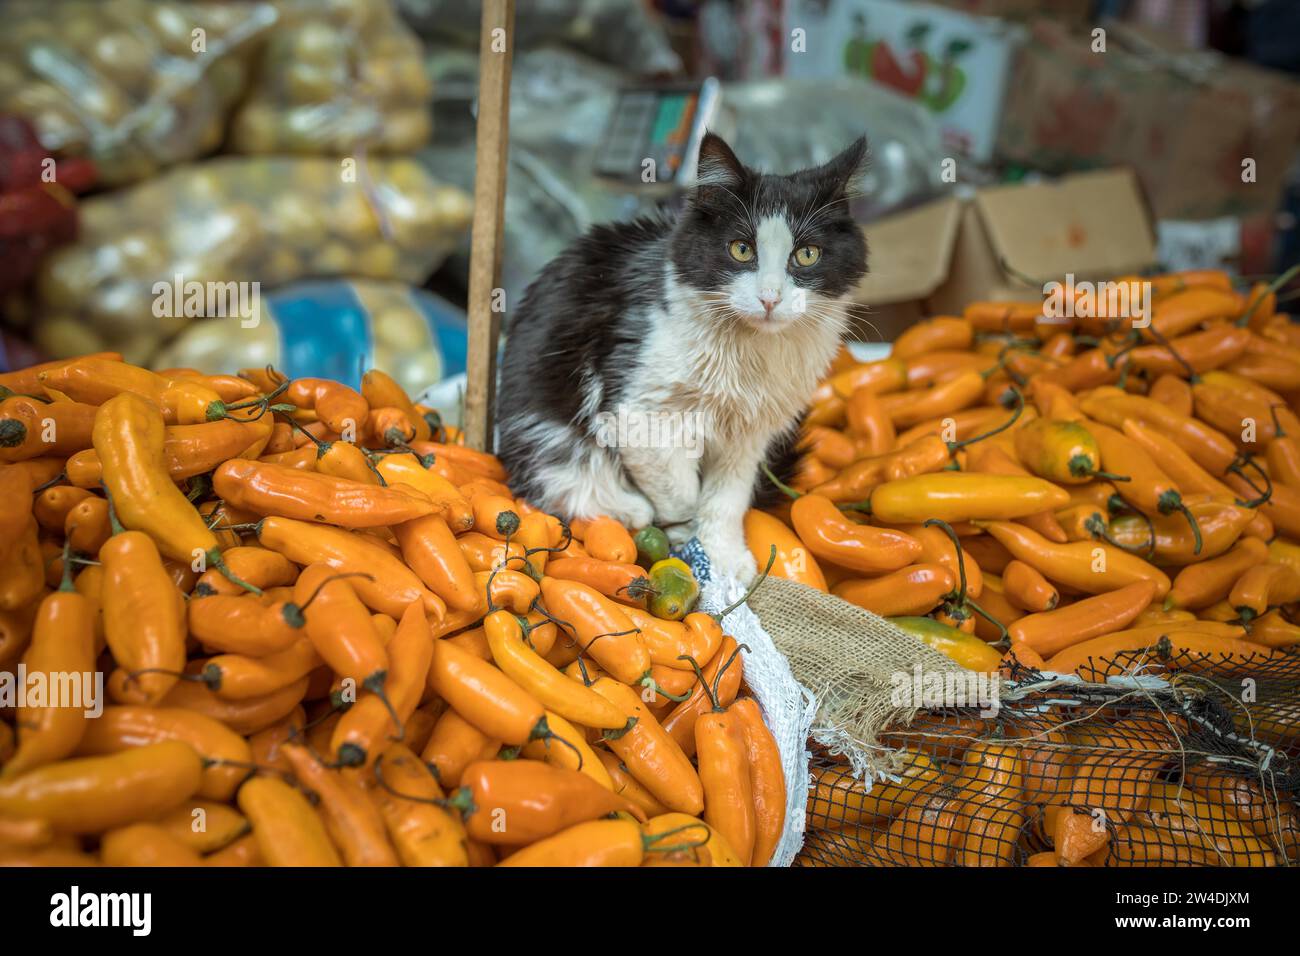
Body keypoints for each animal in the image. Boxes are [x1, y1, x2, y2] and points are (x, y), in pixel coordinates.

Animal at [496, 132, 873, 582]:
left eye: (807, 255)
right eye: (741, 249)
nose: (770, 298)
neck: (748, 351)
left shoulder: (751, 433)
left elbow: (726, 499)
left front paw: (723, 556)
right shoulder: (638, 410)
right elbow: (680, 492)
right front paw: (687, 544)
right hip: (545, 421)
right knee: (559, 479)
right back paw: (628, 508)